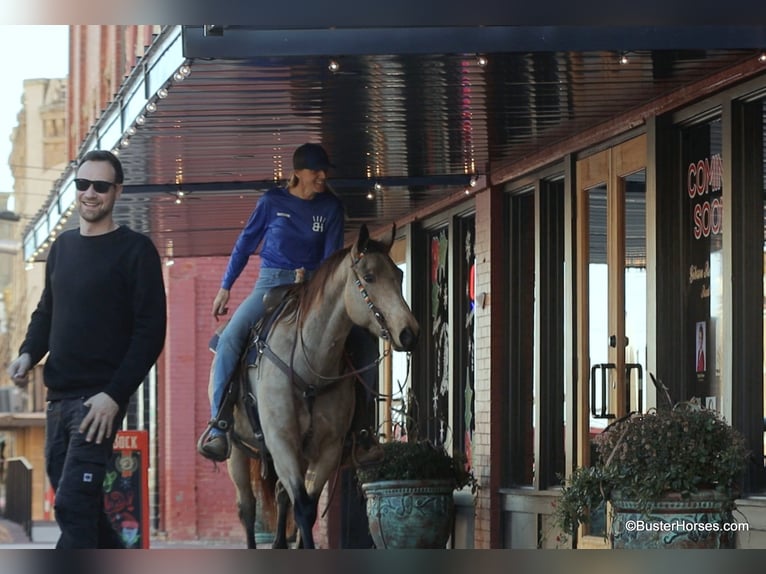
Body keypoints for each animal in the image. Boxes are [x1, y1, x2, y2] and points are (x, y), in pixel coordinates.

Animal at [213, 224, 424, 548]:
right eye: (369, 276)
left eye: (399, 276)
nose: (409, 332)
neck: (309, 363)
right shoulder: (282, 442)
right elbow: (301, 506)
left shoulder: (328, 448)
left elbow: (308, 509)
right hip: (237, 448)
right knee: (247, 507)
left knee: (280, 495)